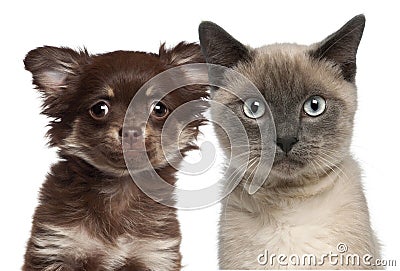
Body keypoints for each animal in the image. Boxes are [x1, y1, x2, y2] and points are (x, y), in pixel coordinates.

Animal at [23, 43, 208, 271]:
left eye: (159, 108)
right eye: (99, 109)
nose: (131, 131)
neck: (119, 189)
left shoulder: (155, 253)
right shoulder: (56, 246)